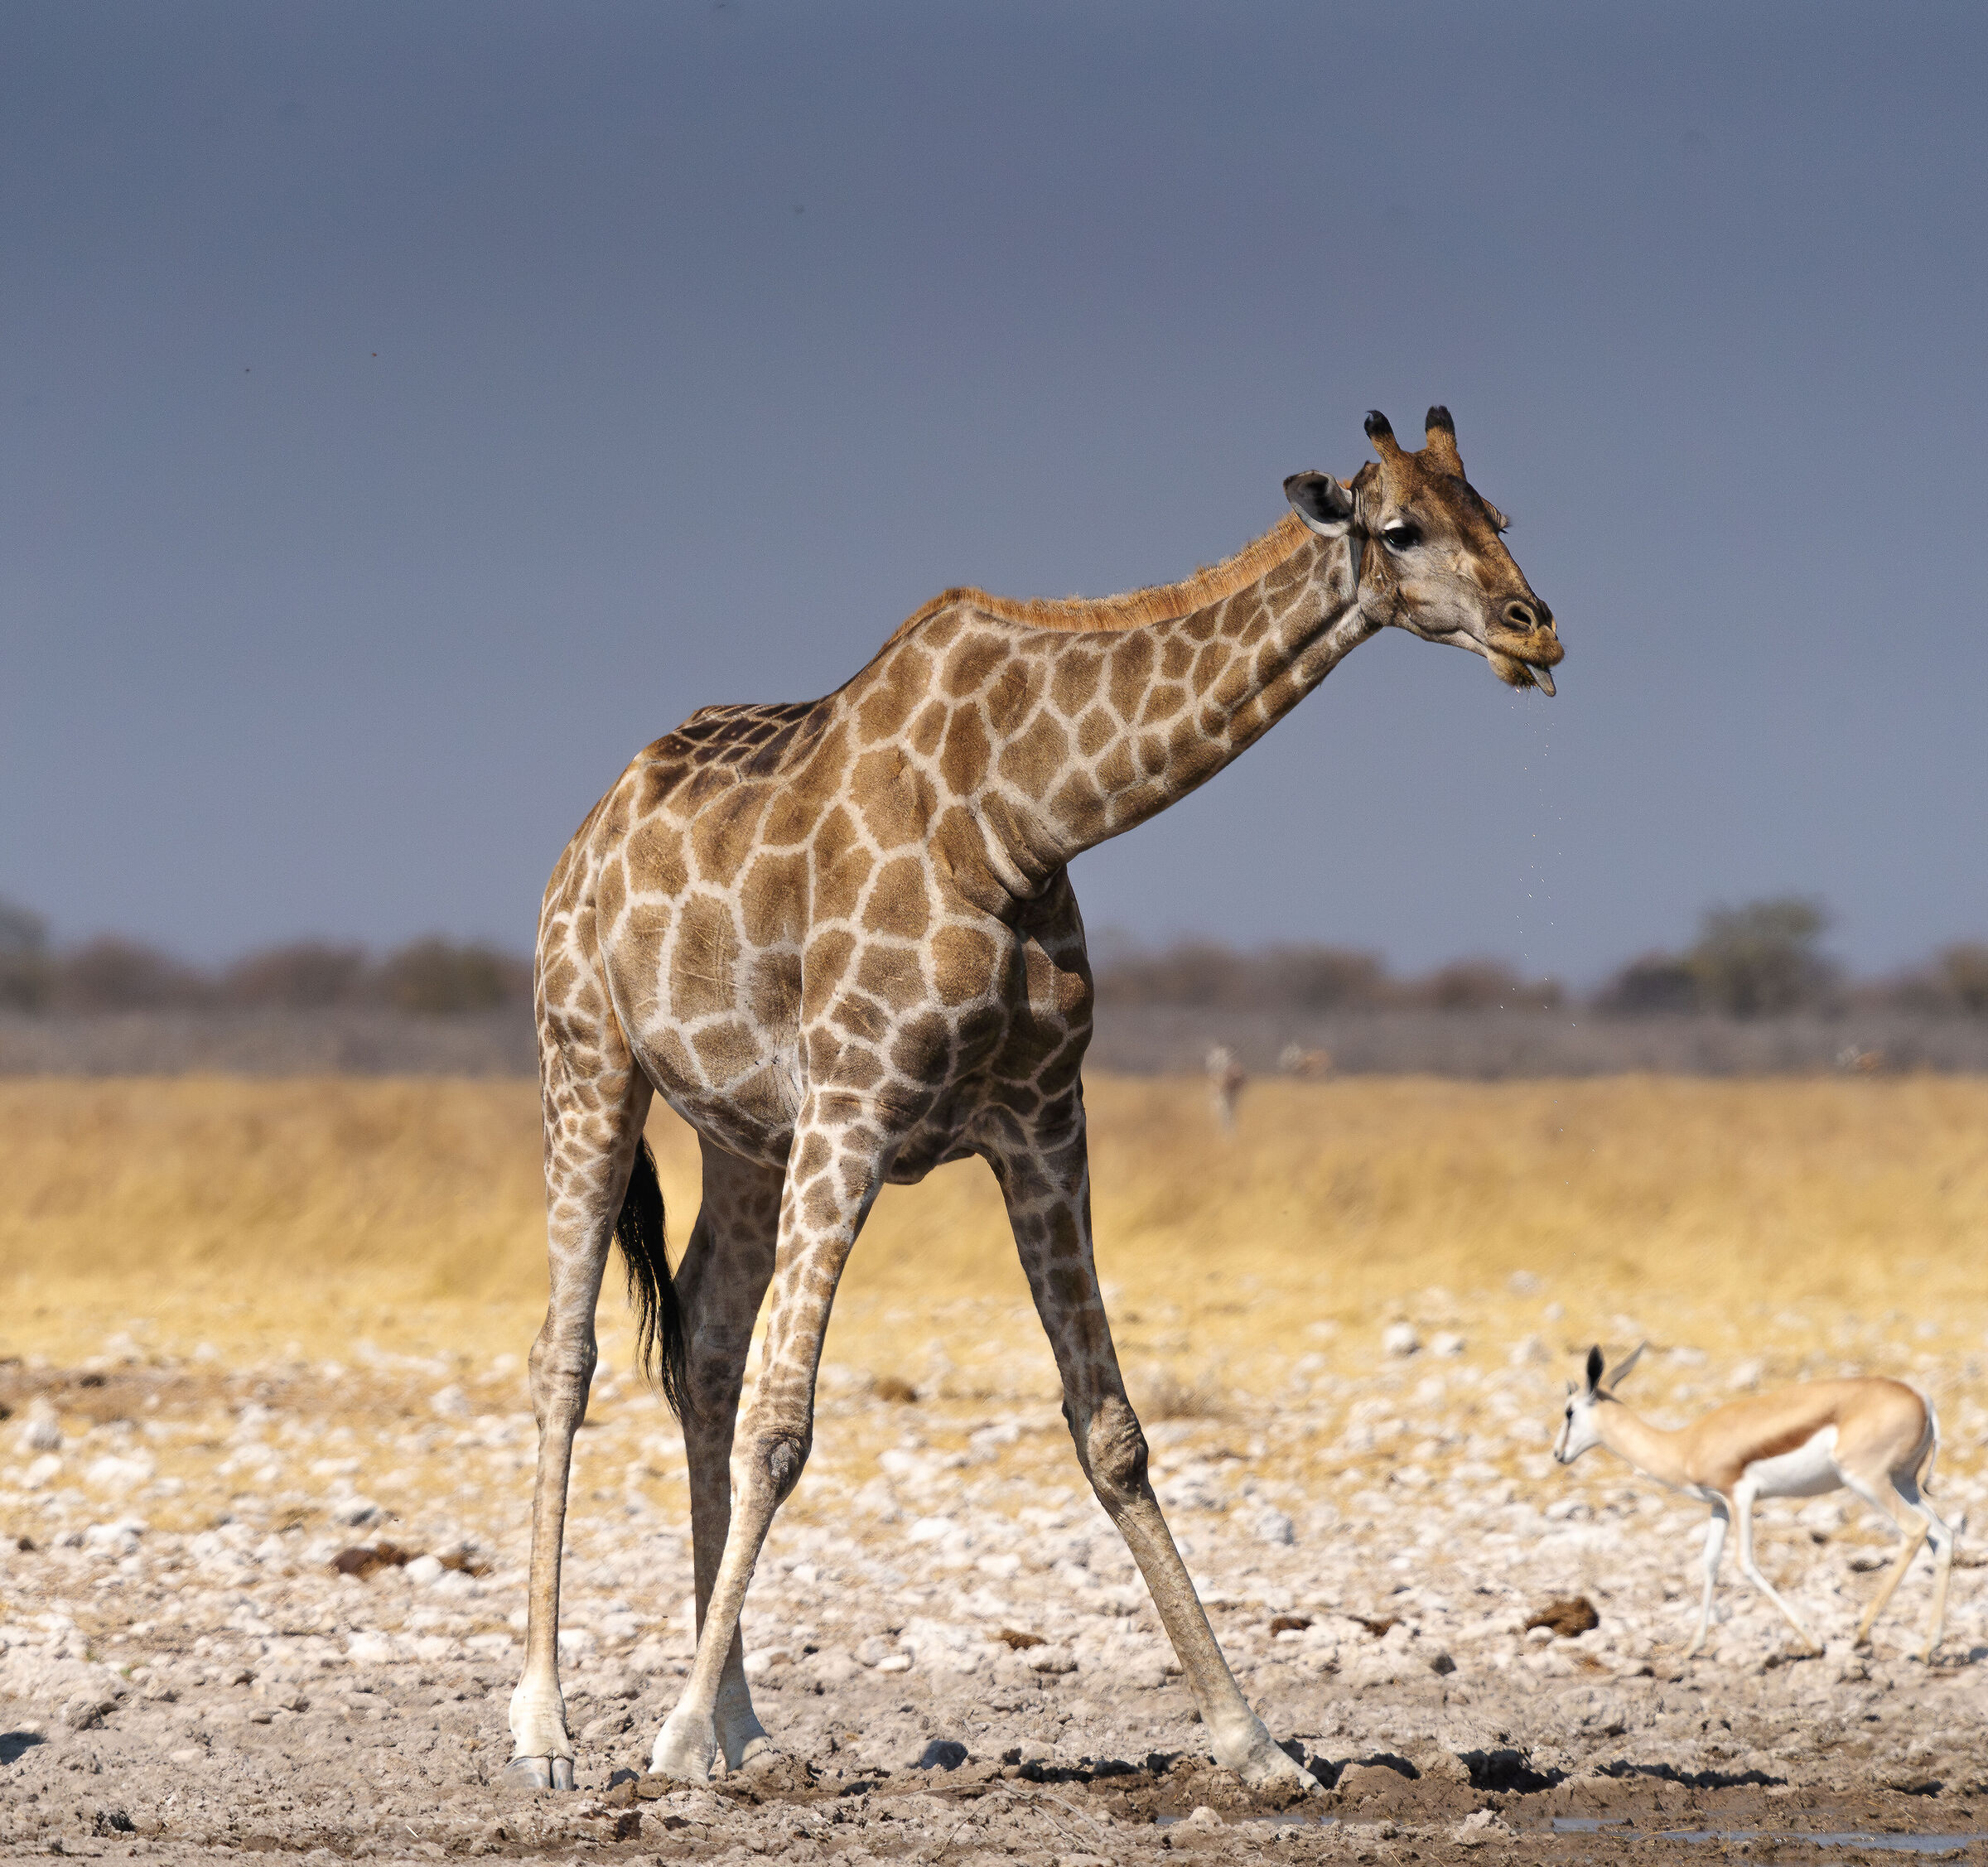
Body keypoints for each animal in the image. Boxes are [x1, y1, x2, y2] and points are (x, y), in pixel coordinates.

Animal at [505, 407, 1561, 1795]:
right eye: (1401, 530)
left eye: (1499, 512)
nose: (1533, 628)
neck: (1026, 816)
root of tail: (588, 826)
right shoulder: (857, 1100)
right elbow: (788, 1426)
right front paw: (668, 1736)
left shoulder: (1045, 1120)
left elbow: (1111, 1428)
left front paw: (1255, 1741)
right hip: (589, 1059)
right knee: (567, 1356)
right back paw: (549, 1728)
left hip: (745, 1136)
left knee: (709, 1349)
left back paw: (744, 1723)